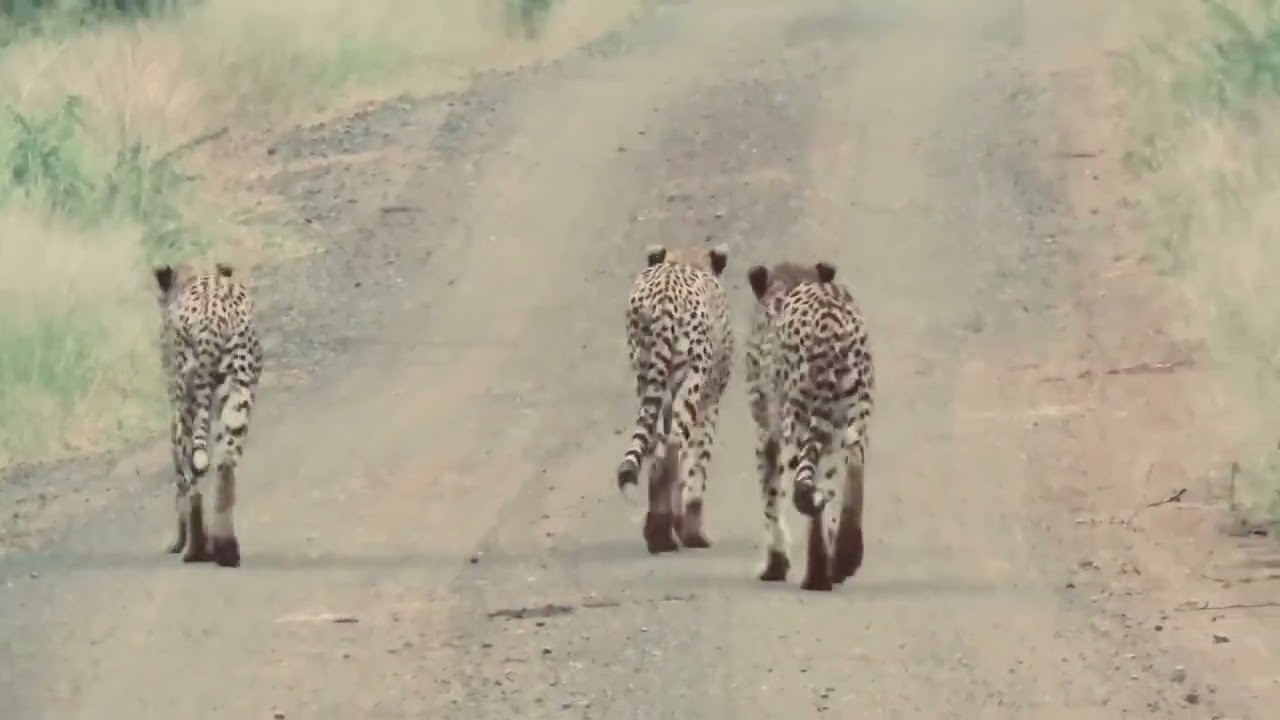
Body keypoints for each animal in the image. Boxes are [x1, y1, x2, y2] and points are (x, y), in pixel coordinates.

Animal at [153, 261, 264, 568]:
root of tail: (212, 319)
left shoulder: (174, 407)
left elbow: (180, 482)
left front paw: (178, 542)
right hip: (238, 393)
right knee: (225, 467)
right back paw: (225, 548)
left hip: (187, 405)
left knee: (192, 482)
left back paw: (196, 549)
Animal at [617, 242, 734, 555]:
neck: (685, 260)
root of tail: (665, 296)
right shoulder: (710, 403)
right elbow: (696, 466)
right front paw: (692, 532)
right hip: (691, 379)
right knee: (672, 447)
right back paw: (664, 534)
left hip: (648, 376)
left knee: (658, 447)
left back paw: (657, 532)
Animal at [743, 259, 875, 591]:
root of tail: (829, 325)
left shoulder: (766, 434)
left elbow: (770, 499)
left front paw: (775, 564)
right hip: (852, 419)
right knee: (852, 469)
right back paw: (846, 557)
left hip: (799, 422)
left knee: (806, 492)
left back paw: (817, 574)